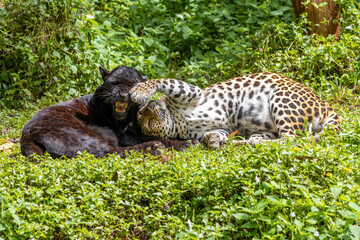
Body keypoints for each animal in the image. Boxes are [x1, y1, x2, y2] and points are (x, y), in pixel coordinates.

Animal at [130, 72, 340, 149]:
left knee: (292, 139)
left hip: (281, 99)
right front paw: (212, 140)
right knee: (285, 139)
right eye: (147, 121)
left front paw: (140, 91)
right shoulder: (221, 128)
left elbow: (164, 81)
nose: (150, 107)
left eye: (143, 113)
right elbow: (216, 133)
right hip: (264, 128)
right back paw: (248, 142)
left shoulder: (192, 92)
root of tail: (327, 106)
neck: (178, 121)